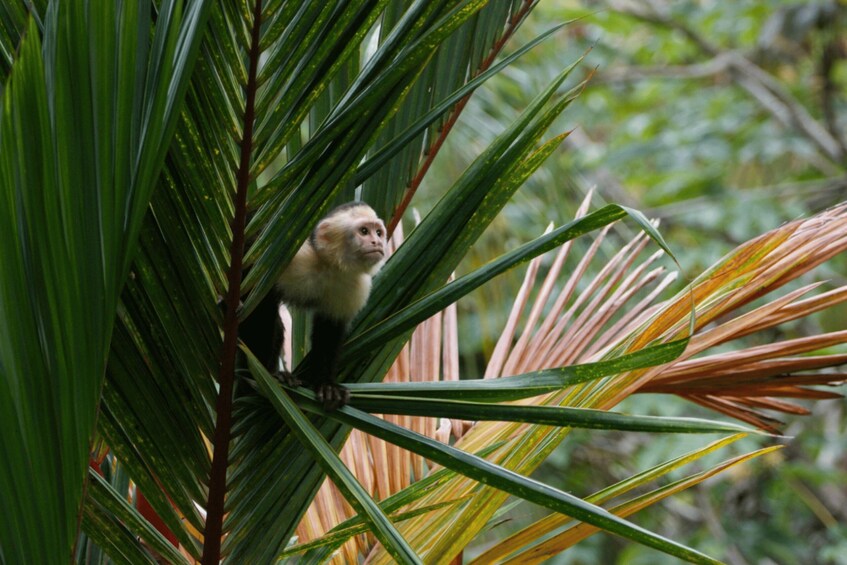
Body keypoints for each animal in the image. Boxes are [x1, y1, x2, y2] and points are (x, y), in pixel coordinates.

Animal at [240, 203, 390, 410]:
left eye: (378, 232)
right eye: (364, 231)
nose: (377, 242)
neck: (330, 265)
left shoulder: (354, 286)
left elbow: (330, 329)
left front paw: (327, 386)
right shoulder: (291, 257)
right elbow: (260, 303)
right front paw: (261, 373)